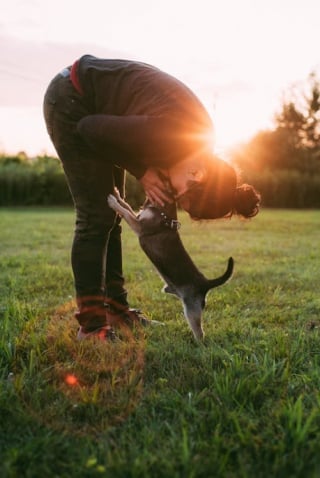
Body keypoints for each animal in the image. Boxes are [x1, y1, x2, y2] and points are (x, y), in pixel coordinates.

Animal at [107, 190, 232, 340]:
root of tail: (205, 283)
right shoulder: (137, 217)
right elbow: (126, 206)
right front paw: (118, 196)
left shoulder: (139, 226)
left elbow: (125, 212)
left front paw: (113, 202)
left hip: (192, 309)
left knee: (200, 332)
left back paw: (198, 342)